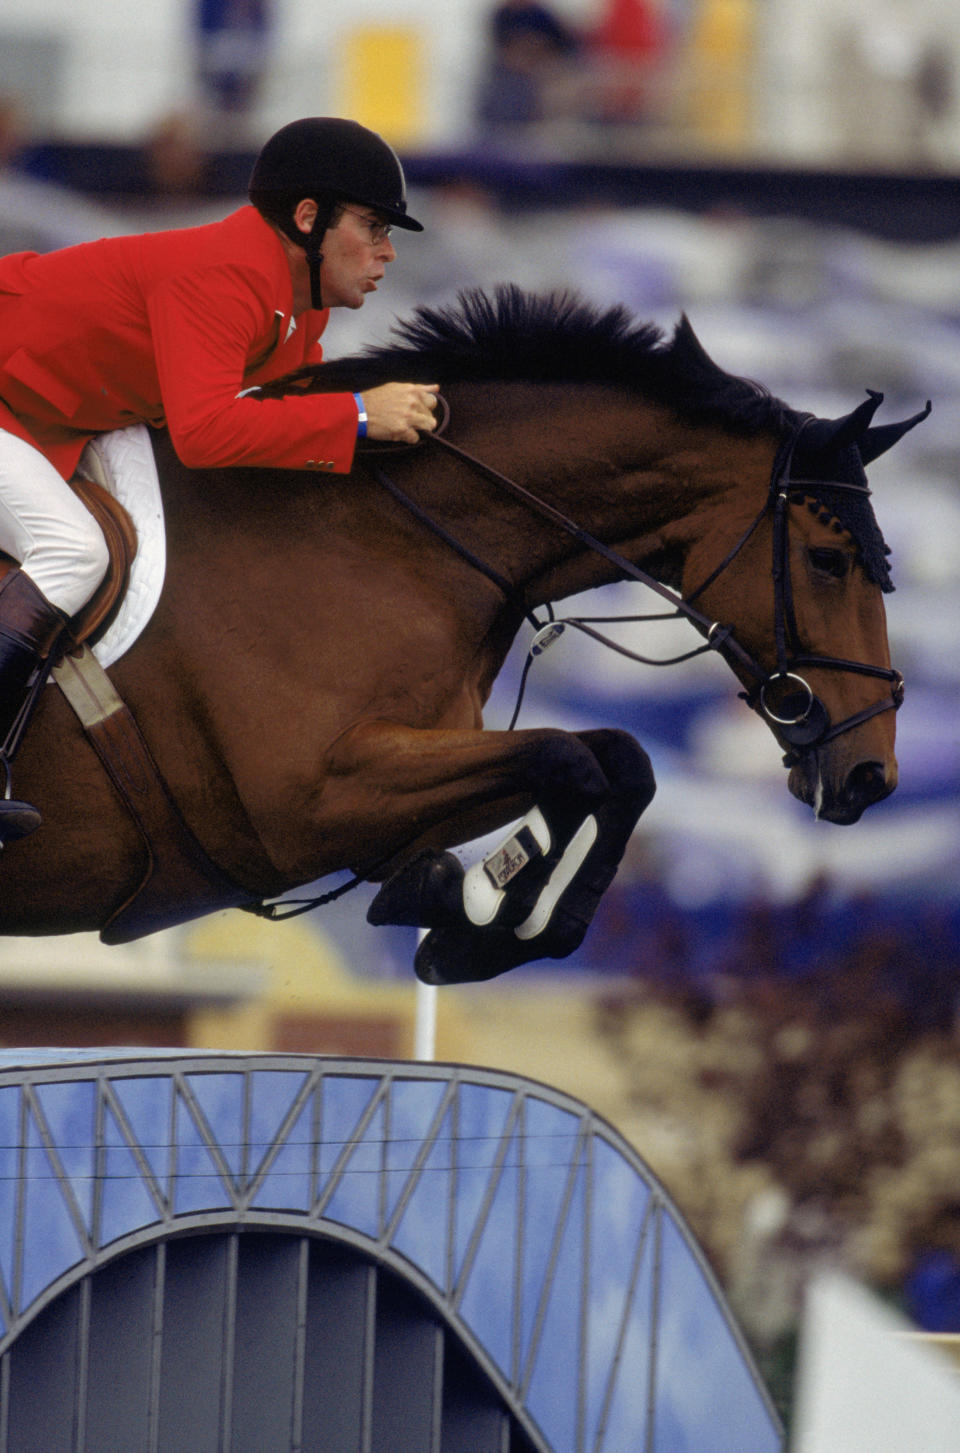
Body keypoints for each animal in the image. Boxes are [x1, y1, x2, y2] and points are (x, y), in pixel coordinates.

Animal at [0, 287, 923, 982]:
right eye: (829, 560)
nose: (871, 773)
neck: (383, 536)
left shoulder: (393, 786)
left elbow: (615, 764)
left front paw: (462, 915)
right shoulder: (304, 802)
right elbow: (570, 759)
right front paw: (470, 911)